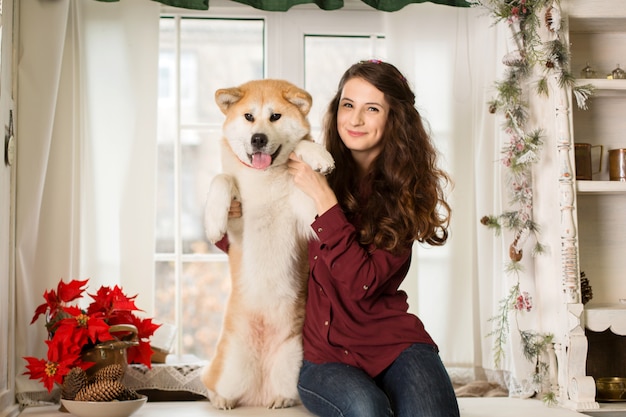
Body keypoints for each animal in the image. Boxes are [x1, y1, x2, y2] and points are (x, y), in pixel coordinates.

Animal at [202, 79, 334, 408]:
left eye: (275, 117)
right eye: (249, 116)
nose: (258, 139)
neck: (264, 178)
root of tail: (257, 394)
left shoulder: (309, 214)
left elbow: (300, 146)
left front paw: (318, 155)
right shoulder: (237, 224)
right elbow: (222, 179)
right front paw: (213, 222)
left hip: (293, 360)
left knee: (285, 392)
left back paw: (280, 401)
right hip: (227, 365)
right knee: (208, 382)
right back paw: (220, 400)